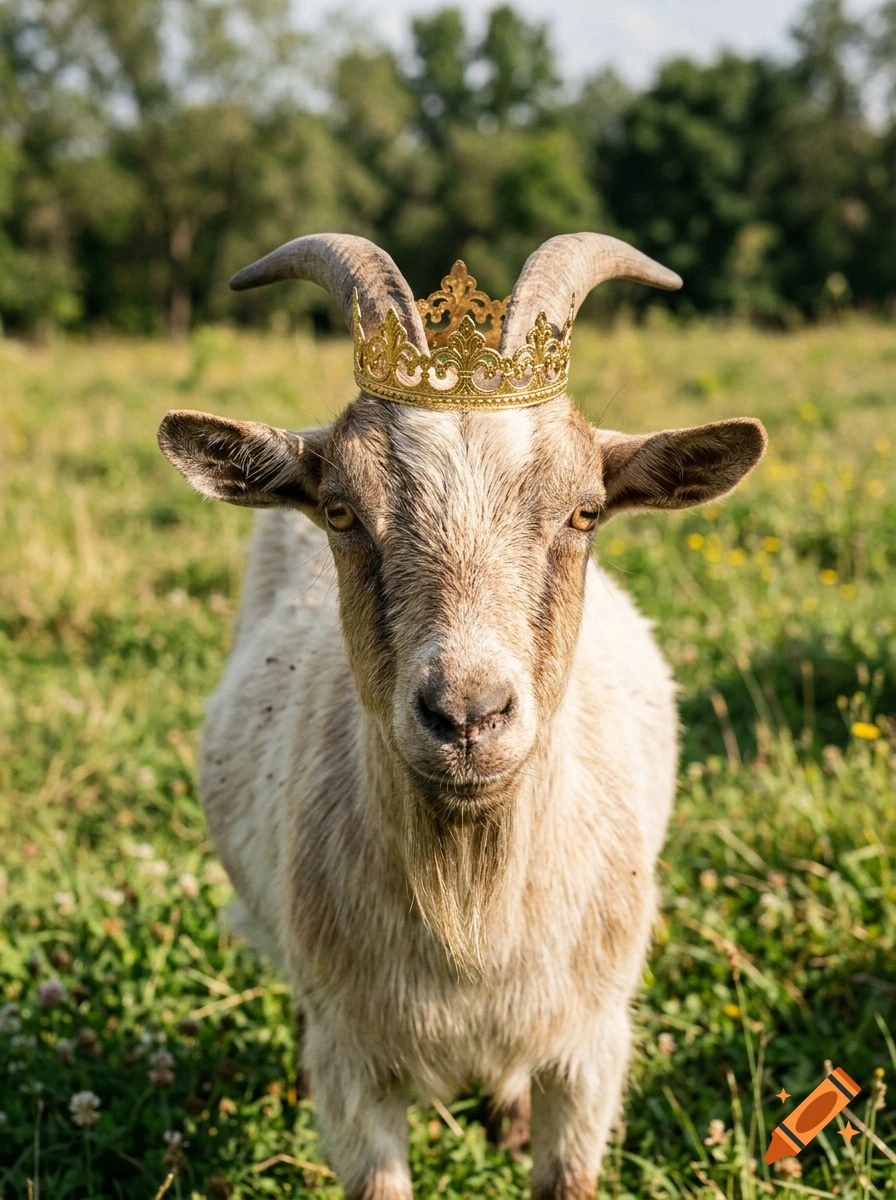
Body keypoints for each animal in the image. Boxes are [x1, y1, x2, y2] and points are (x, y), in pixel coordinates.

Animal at [158, 232, 766, 1200]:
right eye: (341, 510)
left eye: (585, 511)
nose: (468, 715)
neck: (471, 910)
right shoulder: (353, 1062)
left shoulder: (591, 1046)